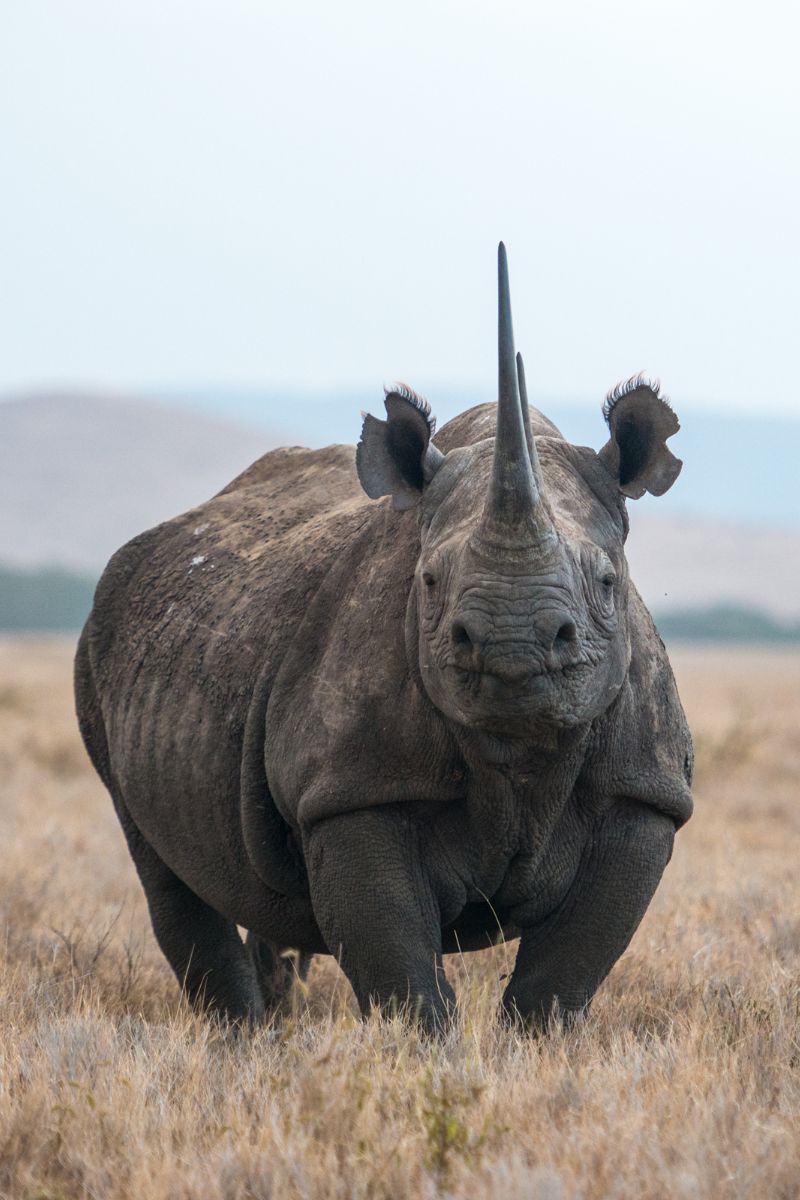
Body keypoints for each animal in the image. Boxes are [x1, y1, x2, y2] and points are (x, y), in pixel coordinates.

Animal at [75, 244, 692, 1033]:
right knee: (163, 868)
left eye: (608, 583)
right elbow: (401, 973)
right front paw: (422, 1054)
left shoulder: (642, 792)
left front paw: (536, 1051)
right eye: (427, 581)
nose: (511, 648)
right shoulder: (354, 790)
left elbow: (561, 979)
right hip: (96, 653)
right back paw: (243, 1040)